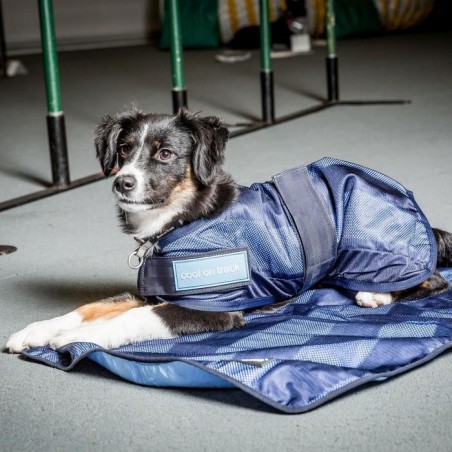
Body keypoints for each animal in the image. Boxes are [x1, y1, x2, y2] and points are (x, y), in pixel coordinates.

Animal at [6, 108, 452, 354]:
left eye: (165, 154)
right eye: (124, 150)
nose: (122, 183)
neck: (181, 221)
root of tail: (424, 220)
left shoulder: (211, 306)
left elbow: (127, 320)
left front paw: (78, 338)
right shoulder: (151, 292)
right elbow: (90, 307)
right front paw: (36, 331)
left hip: (370, 249)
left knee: (433, 280)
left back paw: (376, 293)